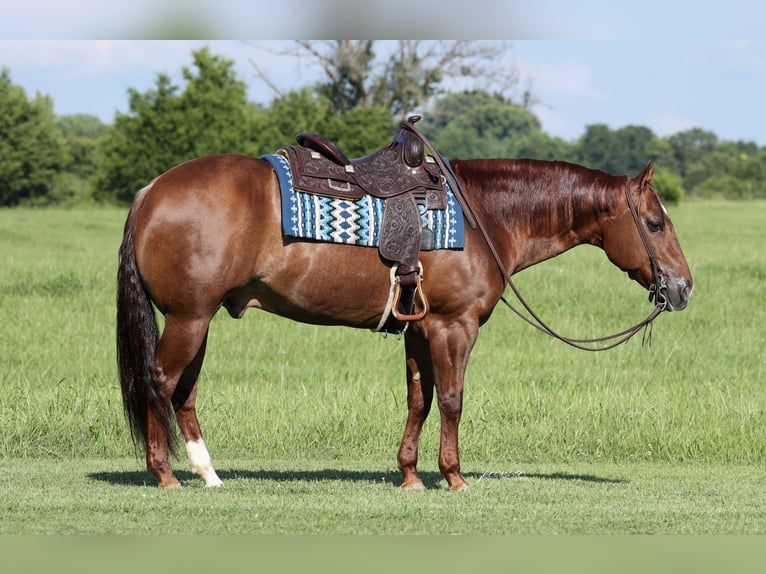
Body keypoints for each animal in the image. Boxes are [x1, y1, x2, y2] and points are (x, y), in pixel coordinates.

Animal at [117, 153, 693, 491]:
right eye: (655, 223)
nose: (683, 288)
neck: (484, 216)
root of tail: (151, 190)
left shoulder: (418, 330)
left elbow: (419, 400)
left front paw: (411, 475)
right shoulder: (454, 326)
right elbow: (454, 400)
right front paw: (455, 477)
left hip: (198, 319)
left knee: (184, 392)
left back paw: (208, 473)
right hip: (189, 318)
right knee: (160, 381)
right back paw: (165, 474)